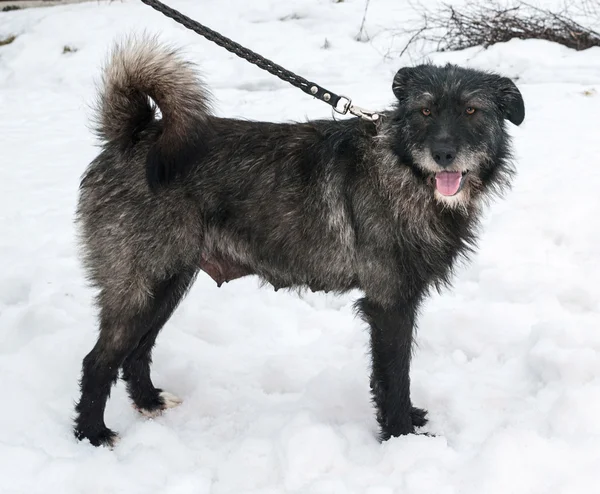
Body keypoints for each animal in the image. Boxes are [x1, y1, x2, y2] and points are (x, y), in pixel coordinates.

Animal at [72, 36, 524, 446]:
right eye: (425, 110)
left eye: (472, 110)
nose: (443, 154)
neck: (402, 168)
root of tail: (133, 135)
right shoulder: (389, 304)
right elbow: (394, 376)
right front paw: (401, 438)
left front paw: (408, 422)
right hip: (142, 284)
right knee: (99, 360)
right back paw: (92, 434)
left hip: (168, 283)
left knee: (136, 352)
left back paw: (149, 402)